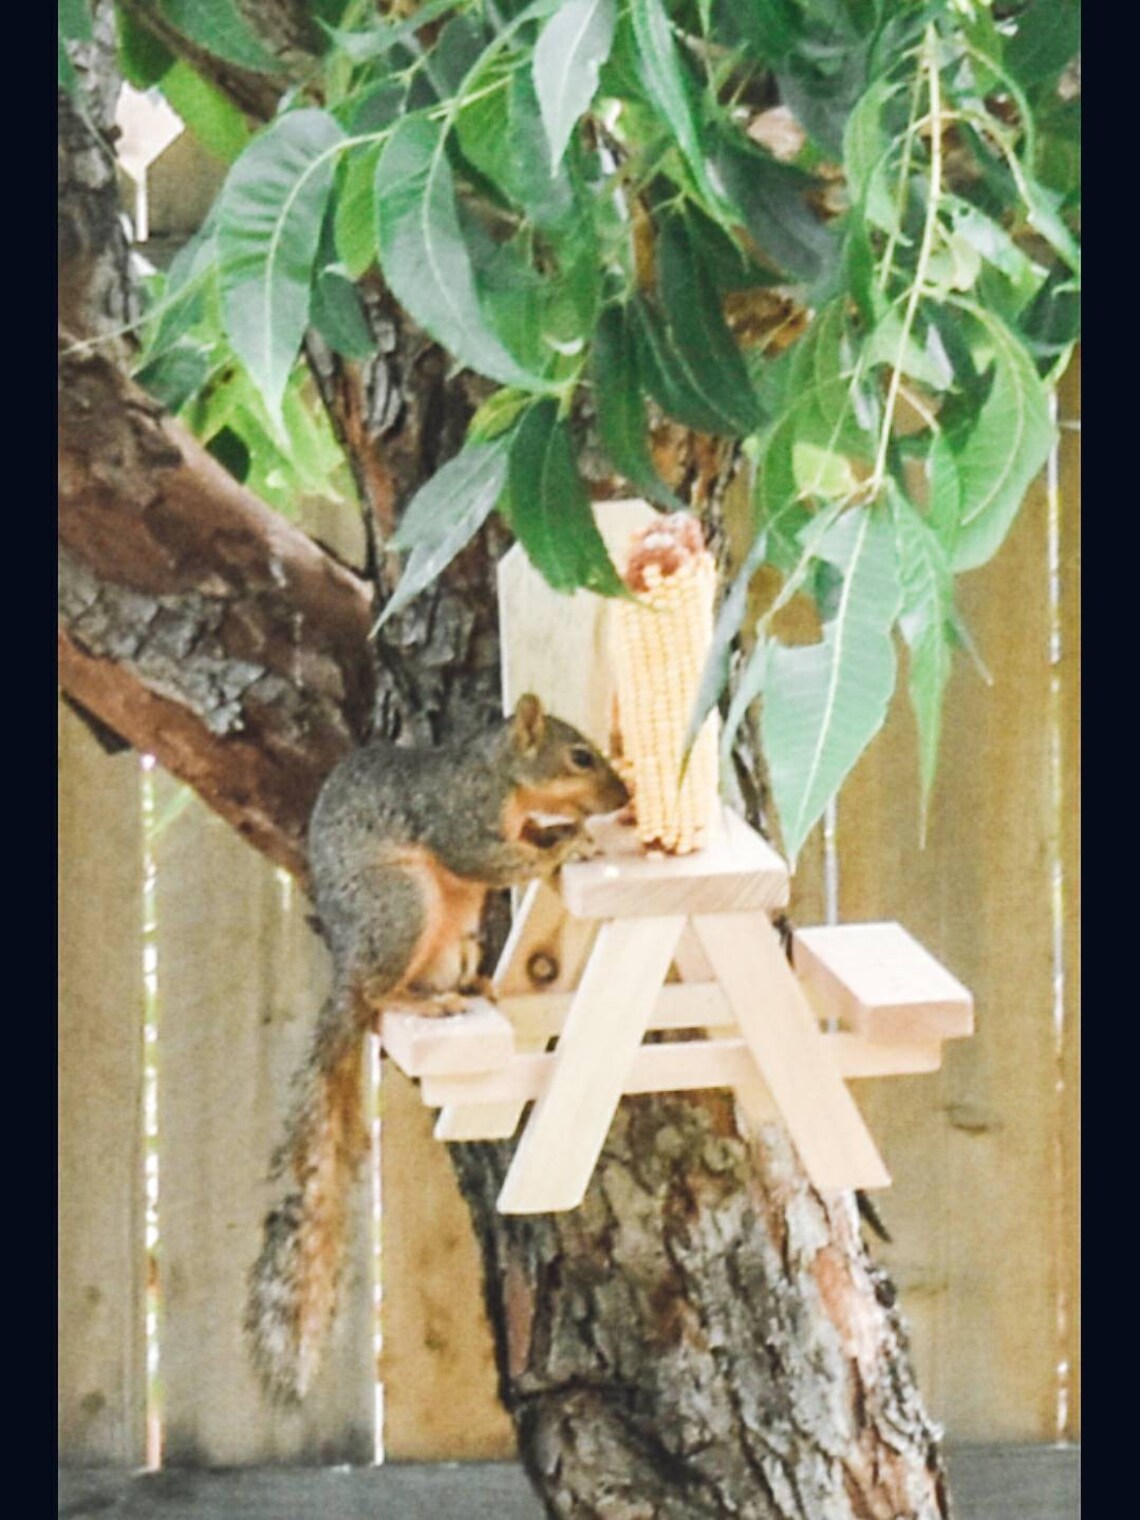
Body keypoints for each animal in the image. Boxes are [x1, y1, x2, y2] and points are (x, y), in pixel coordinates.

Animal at [245, 693, 630, 1402]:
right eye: (580, 757)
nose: (623, 798)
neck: (499, 775)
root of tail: (346, 970)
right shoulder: (459, 817)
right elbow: (489, 858)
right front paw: (567, 844)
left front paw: (559, 835)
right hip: (400, 908)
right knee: (377, 998)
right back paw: (421, 1004)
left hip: (458, 934)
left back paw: (473, 986)